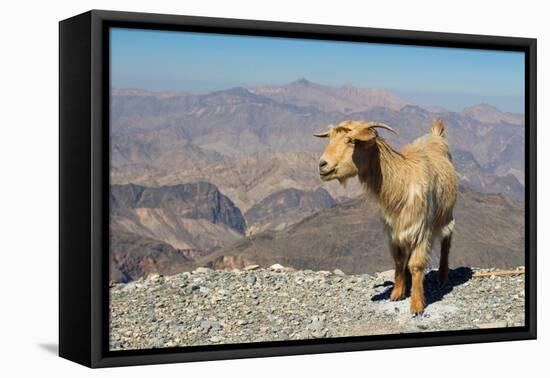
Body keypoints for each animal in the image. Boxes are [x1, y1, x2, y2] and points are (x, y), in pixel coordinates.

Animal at [316, 119, 460, 314]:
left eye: (351, 140)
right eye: (330, 138)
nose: (322, 164)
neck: (401, 182)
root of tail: (436, 135)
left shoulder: (421, 228)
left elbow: (416, 265)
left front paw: (416, 305)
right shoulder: (393, 230)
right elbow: (398, 260)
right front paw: (397, 293)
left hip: (447, 214)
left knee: (447, 240)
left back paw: (443, 276)